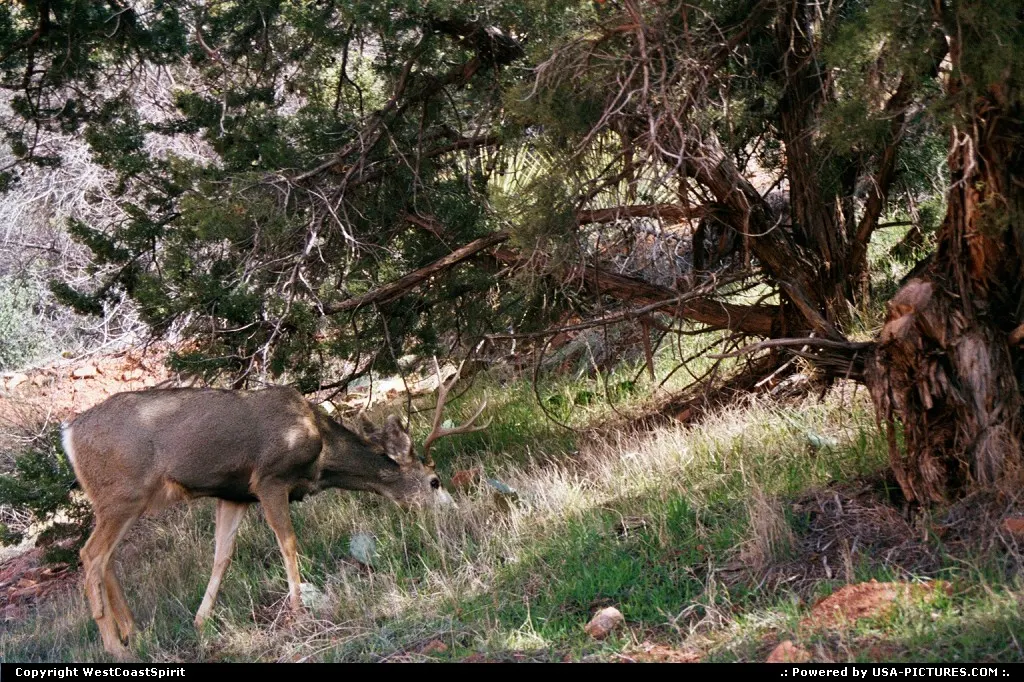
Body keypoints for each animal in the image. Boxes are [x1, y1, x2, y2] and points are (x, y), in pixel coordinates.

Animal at [61, 359, 487, 659]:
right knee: (91, 555)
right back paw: (115, 646)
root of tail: (68, 434)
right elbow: (288, 542)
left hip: (120, 501)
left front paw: (201, 621)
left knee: (105, 560)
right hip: (123, 494)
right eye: (434, 481)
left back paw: (134, 633)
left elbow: (222, 556)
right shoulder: (269, 479)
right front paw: (298, 610)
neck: (320, 452)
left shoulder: (234, 495)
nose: (456, 512)